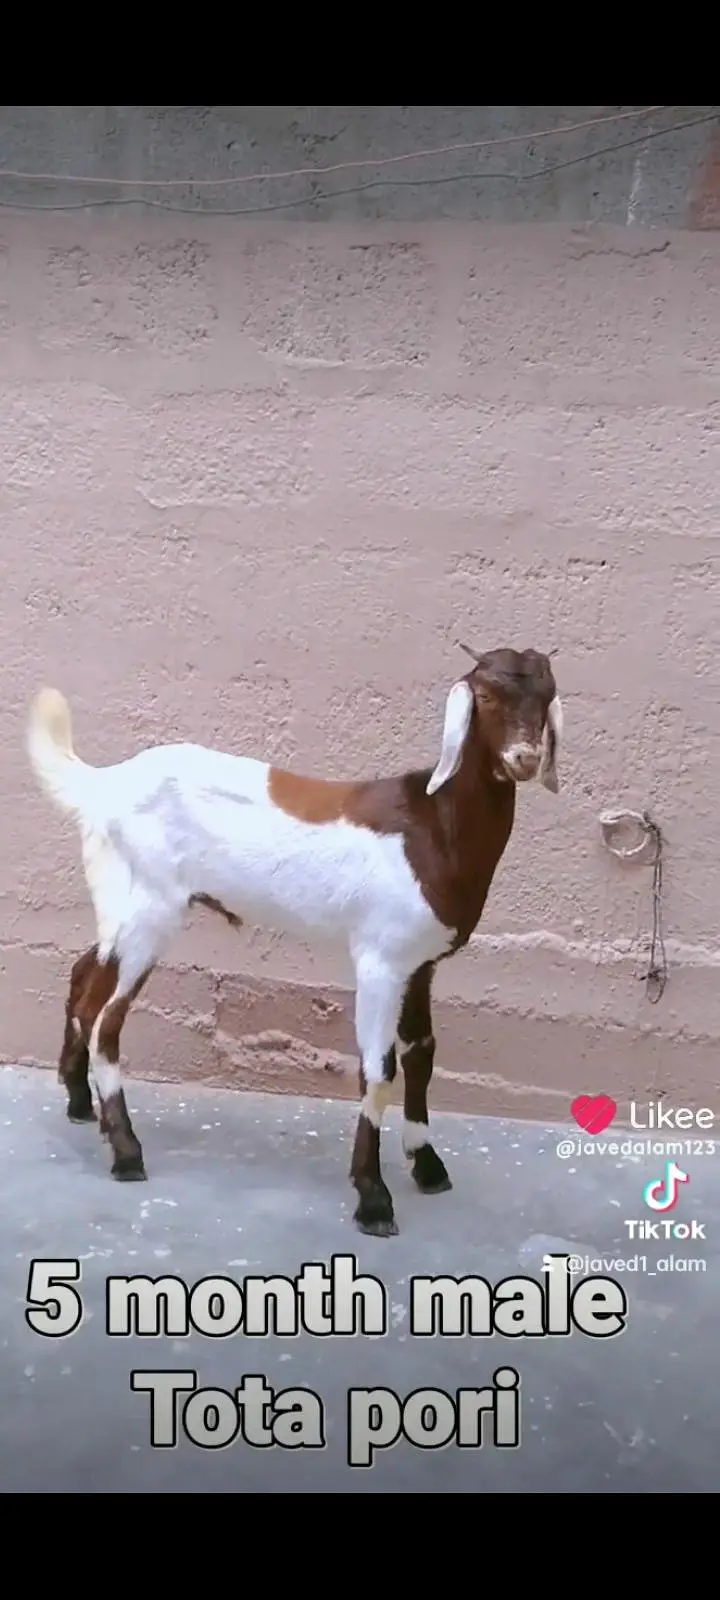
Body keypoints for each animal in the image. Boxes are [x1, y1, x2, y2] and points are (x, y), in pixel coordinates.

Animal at [26, 646, 562, 1238]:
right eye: (485, 696)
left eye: (547, 696)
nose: (523, 758)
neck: (432, 825)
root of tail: (103, 785)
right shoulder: (378, 959)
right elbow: (379, 1070)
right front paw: (373, 1198)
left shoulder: (420, 962)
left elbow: (422, 1053)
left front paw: (427, 1164)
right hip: (148, 911)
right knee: (104, 1017)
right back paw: (125, 1150)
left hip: (119, 908)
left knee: (82, 978)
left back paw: (80, 1102)